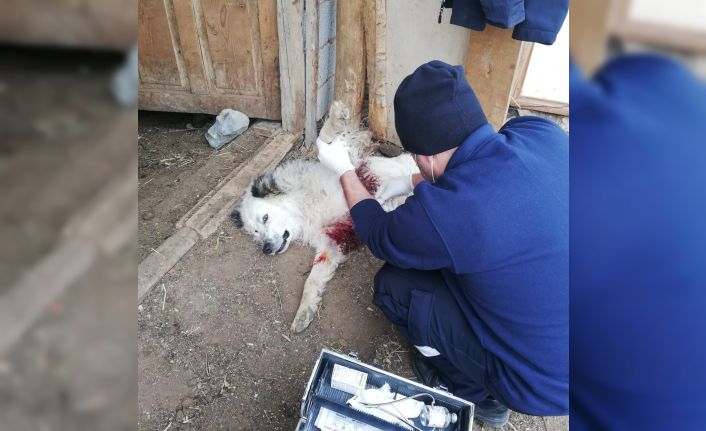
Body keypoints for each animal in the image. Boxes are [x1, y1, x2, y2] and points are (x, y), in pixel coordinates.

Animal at [231, 102, 418, 334]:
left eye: (265, 218)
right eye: (255, 233)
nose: (265, 249)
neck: (306, 205)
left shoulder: (356, 169)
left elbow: (326, 139)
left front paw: (336, 116)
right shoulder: (331, 241)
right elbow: (311, 281)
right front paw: (304, 312)